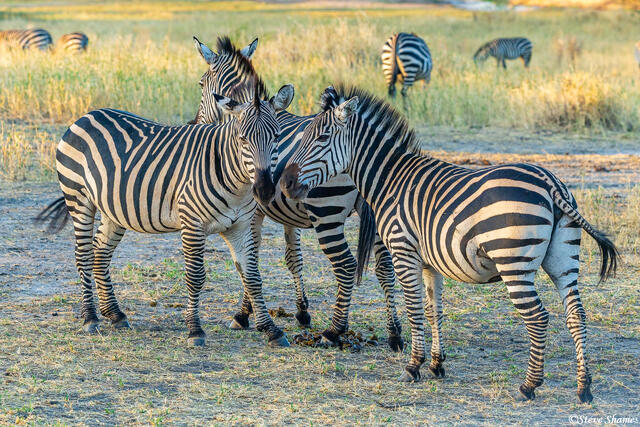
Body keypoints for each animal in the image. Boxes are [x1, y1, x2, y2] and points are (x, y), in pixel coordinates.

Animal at [35, 81, 296, 347]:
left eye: (276, 137)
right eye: (242, 139)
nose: (264, 190)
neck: (236, 182)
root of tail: (87, 115)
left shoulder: (240, 227)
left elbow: (252, 277)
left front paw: (271, 330)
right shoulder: (192, 223)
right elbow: (195, 276)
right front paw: (195, 330)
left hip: (113, 209)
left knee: (100, 253)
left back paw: (115, 314)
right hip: (78, 198)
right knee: (84, 255)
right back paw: (90, 317)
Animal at [192, 36, 404, 351]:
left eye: (201, 83)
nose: (194, 124)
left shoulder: (254, 213)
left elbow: (249, 261)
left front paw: (244, 314)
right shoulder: (287, 214)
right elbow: (293, 258)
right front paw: (302, 311)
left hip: (327, 215)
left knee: (346, 266)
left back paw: (334, 331)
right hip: (375, 213)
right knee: (385, 268)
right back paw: (395, 333)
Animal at [280, 84, 619, 403]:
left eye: (322, 138)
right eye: (304, 137)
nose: (284, 183)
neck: (389, 179)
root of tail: (550, 182)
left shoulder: (404, 253)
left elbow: (414, 309)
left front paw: (413, 366)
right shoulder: (430, 261)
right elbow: (434, 310)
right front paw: (436, 364)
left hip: (515, 264)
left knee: (537, 317)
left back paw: (529, 385)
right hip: (563, 260)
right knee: (576, 314)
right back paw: (584, 387)